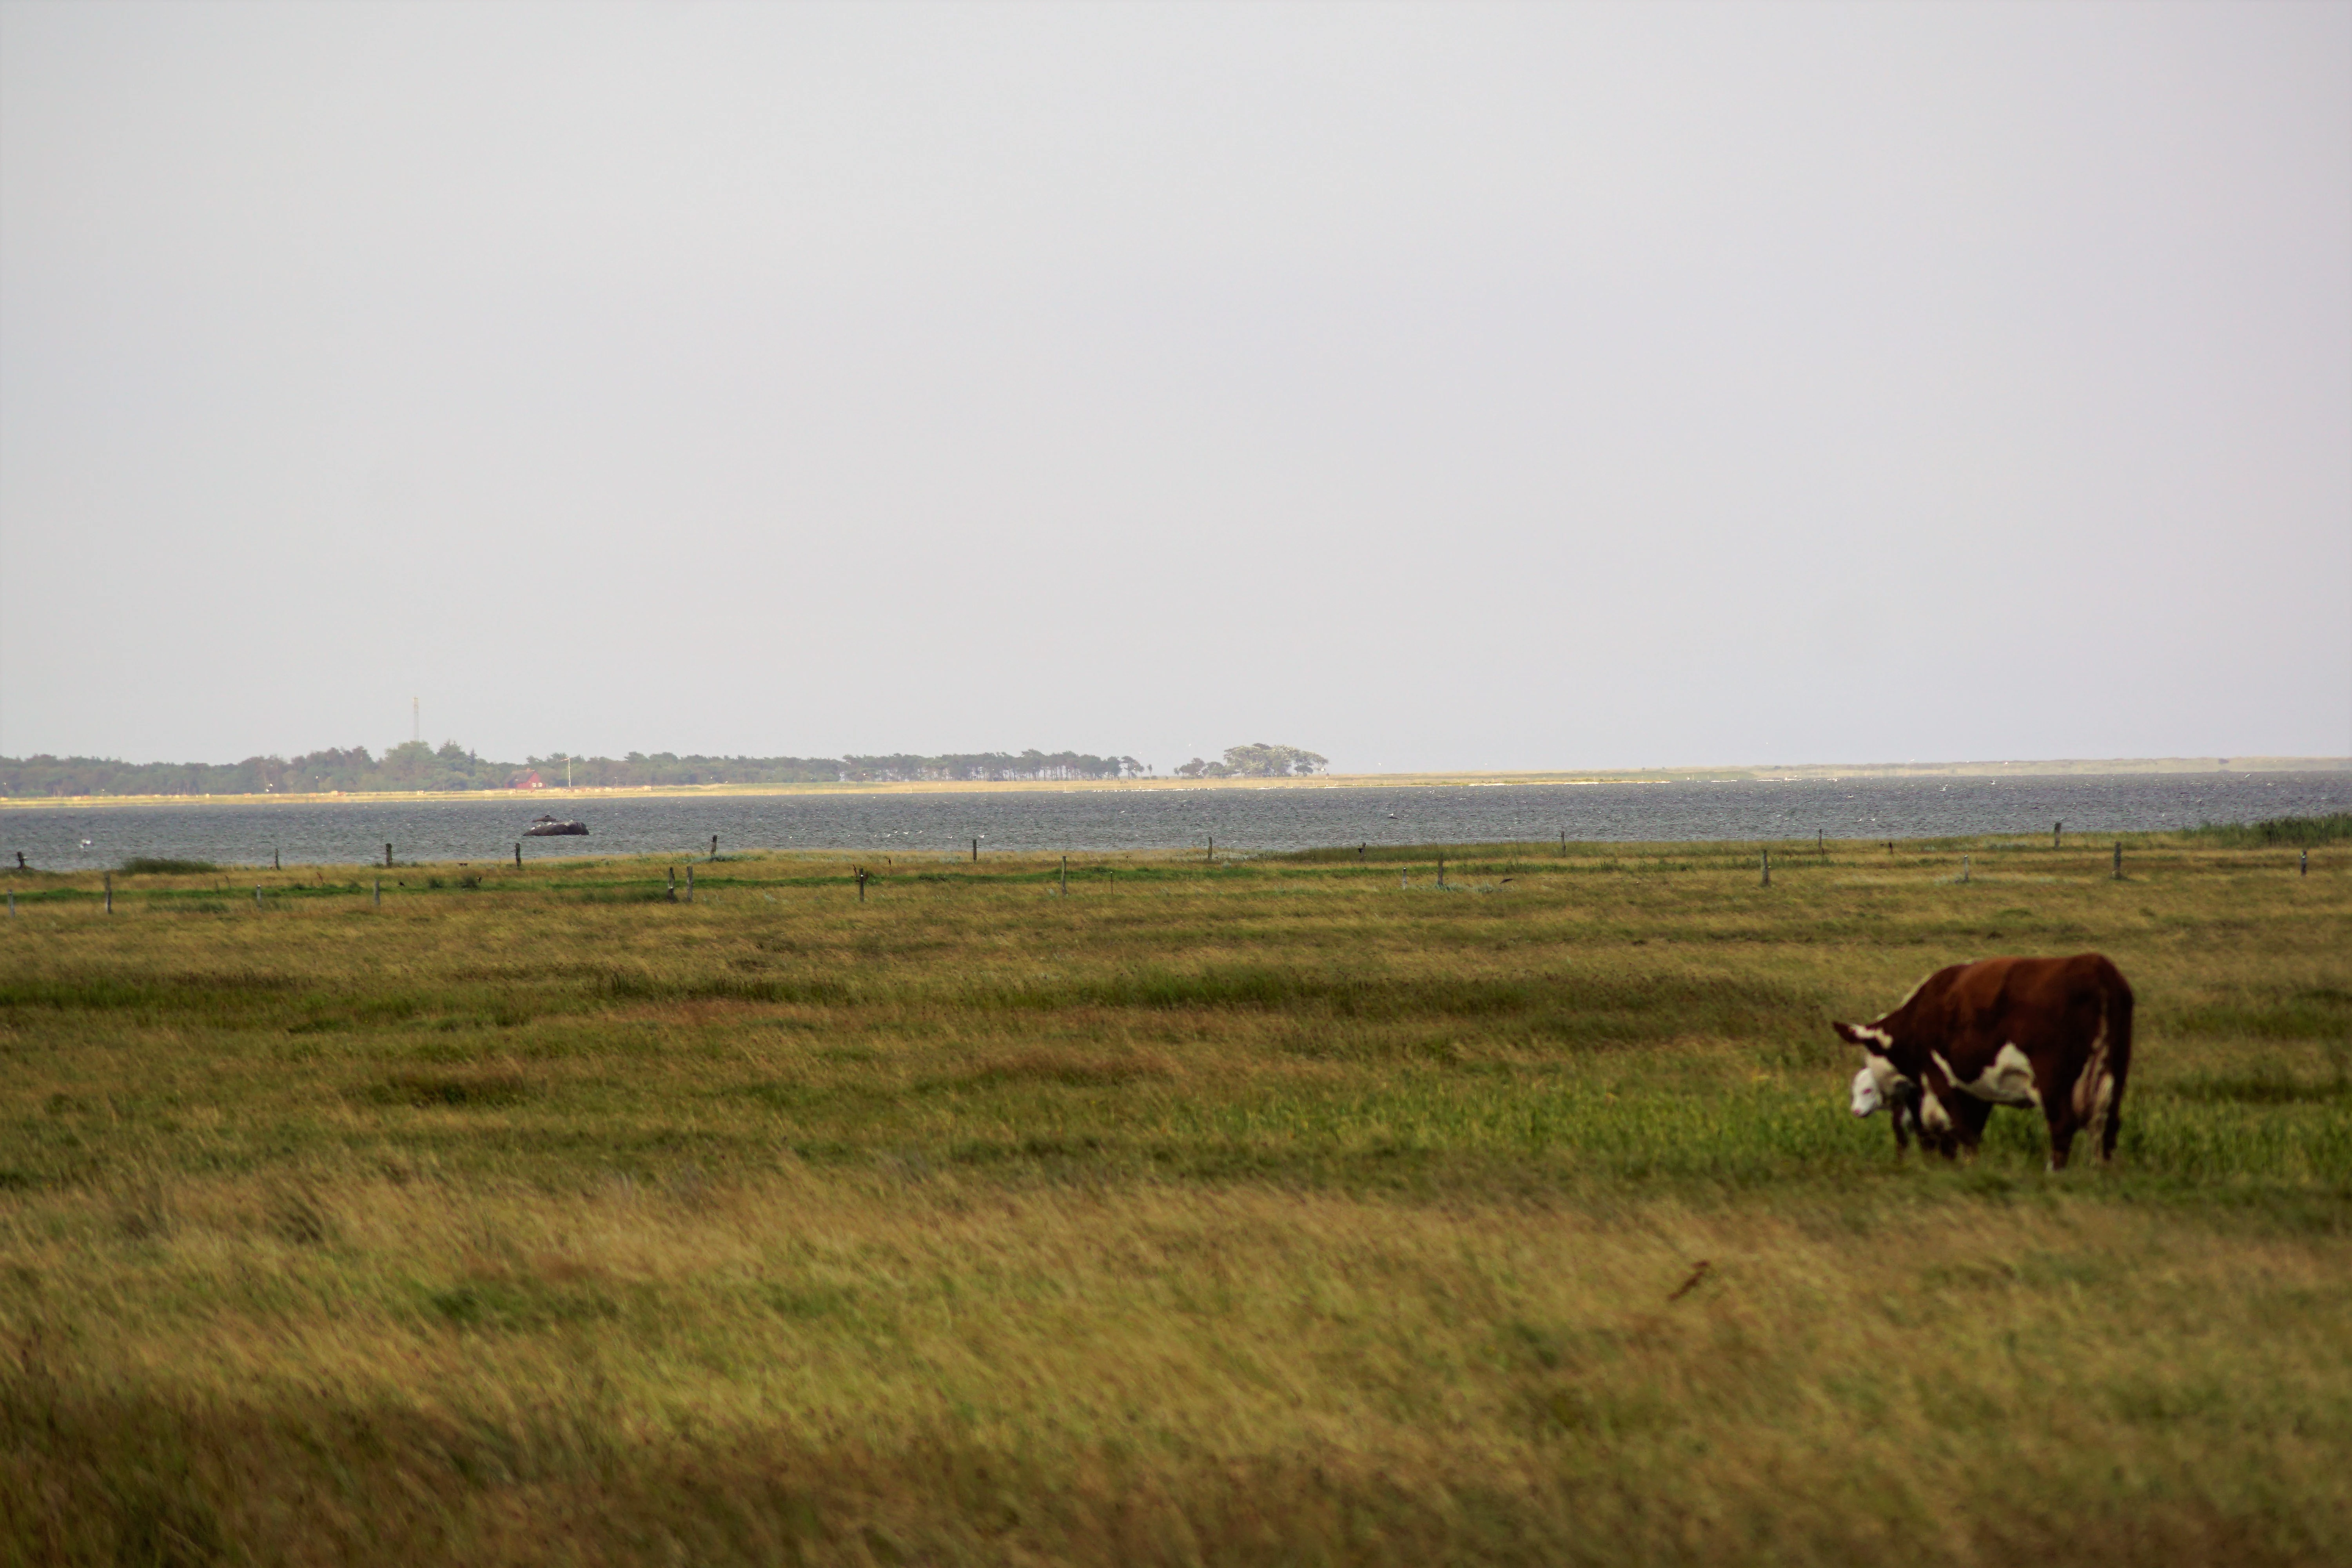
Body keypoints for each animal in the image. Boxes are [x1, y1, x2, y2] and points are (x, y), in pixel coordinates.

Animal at [1834, 954, 2133, 1170]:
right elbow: (1969, 1132)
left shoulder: (1942, 1079)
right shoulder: (1977, 1091)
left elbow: (1963, 1131)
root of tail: (2095, 965)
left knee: (2062, 1124)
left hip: (2053, 1078)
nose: (1857, 1110)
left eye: (1867, 1087)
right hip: (2115, 1070)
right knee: (2108, 1126)